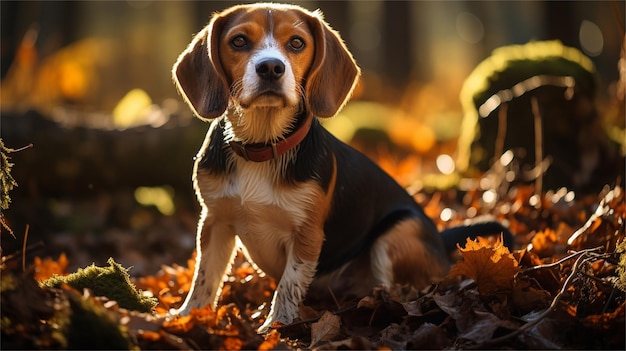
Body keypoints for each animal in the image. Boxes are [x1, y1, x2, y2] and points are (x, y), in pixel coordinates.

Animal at [169, 2, 508, 332]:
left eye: (296, 42)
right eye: (238, 41)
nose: (270, 67)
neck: (261, 146)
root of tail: (439, 240)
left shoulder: (307, 234)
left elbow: (288, 284)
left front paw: (276, 327)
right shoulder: (214, 221)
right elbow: (204, 276)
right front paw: (187, 317)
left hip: (399, 232)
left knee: (401, 288)